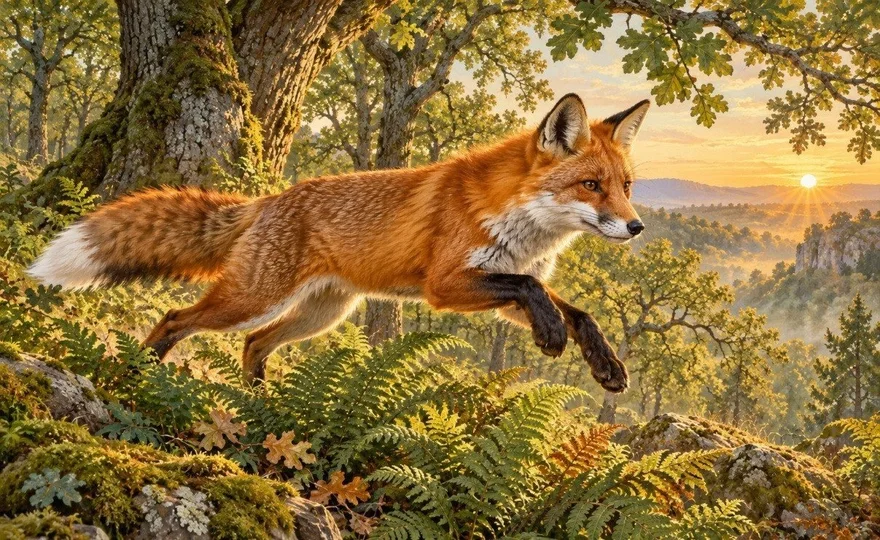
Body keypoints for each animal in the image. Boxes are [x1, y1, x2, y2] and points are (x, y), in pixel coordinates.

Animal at [29, 93, 649, 392]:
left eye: (626, 187)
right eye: (591, 186)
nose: (637, 227)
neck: (521, 225)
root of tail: (268, 200)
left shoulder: (504, 289)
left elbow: (579, 312)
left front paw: (607, 367)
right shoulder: (448, 285)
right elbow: (536, 295)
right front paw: (553, 339)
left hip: (321, 313)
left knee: (254, 344)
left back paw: (262, 404)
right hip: (252, 299)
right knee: (176, 319)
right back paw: (139, 375)